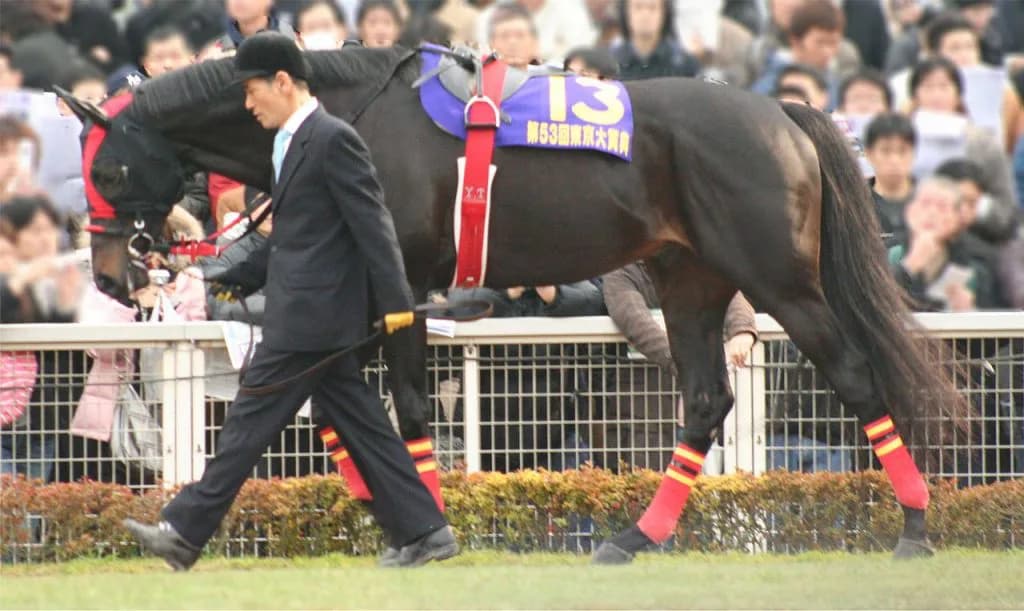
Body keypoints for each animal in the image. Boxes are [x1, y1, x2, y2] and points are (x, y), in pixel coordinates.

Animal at [62, 45, 965, 562]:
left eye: (106, 168)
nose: (112, 273)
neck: (355, 109)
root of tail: (779, 110)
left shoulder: (402, 276)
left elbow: (403, 400)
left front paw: (424, 514)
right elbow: (319, 390)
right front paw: (380, 505)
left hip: (777, 276)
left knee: (855, 373)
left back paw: (915, 527)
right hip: (692, 279)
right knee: (708, 398)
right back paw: (635, 537)